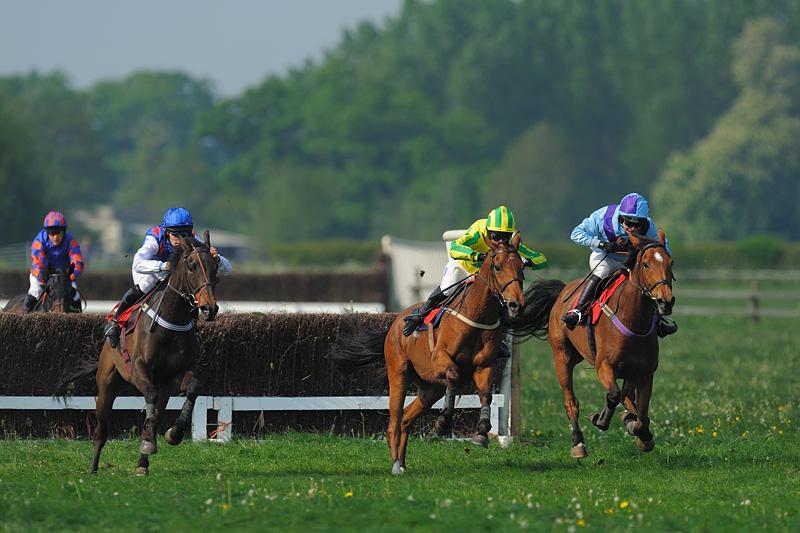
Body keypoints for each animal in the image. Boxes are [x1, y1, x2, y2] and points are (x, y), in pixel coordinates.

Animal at [58, 231, 219, 476]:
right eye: (191, 266)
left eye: (215, 267)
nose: (209, 308)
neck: (172, 320)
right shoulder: (138, 369)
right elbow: (149, 395)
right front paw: (150, 442)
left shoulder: (174, 377)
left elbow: (193, 387)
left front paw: (173, 434)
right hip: (106, 385)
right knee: (100, 431)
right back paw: (94, 468)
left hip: (161, 390)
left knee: (156, 412)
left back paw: (142, 464)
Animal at [330, 232, 526, 475]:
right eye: (497, 267)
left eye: (522, 266)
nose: (516, 304)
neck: (476, 314)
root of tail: (394, 323)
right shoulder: (440, 359)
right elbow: (454, 375)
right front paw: (444, 422)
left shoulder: (485, 366)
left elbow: (486, 394)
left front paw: (481, 433)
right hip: (399, 373)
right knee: (394, 421)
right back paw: (395, 466)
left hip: (430, 389)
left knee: (405, 419)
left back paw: (403, 463)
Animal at [510, 228, 674, 458]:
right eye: (646, 264)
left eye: (671, 262)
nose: (665, 301)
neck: (633, 320)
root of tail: (563, 290)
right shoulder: (603, 365)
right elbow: (613, 395)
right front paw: (601, 419)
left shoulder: (645, 372)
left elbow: (640, 414)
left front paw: (641, 433)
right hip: (563, 357)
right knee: (571, 402)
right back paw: (578, 442)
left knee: (626, 397)